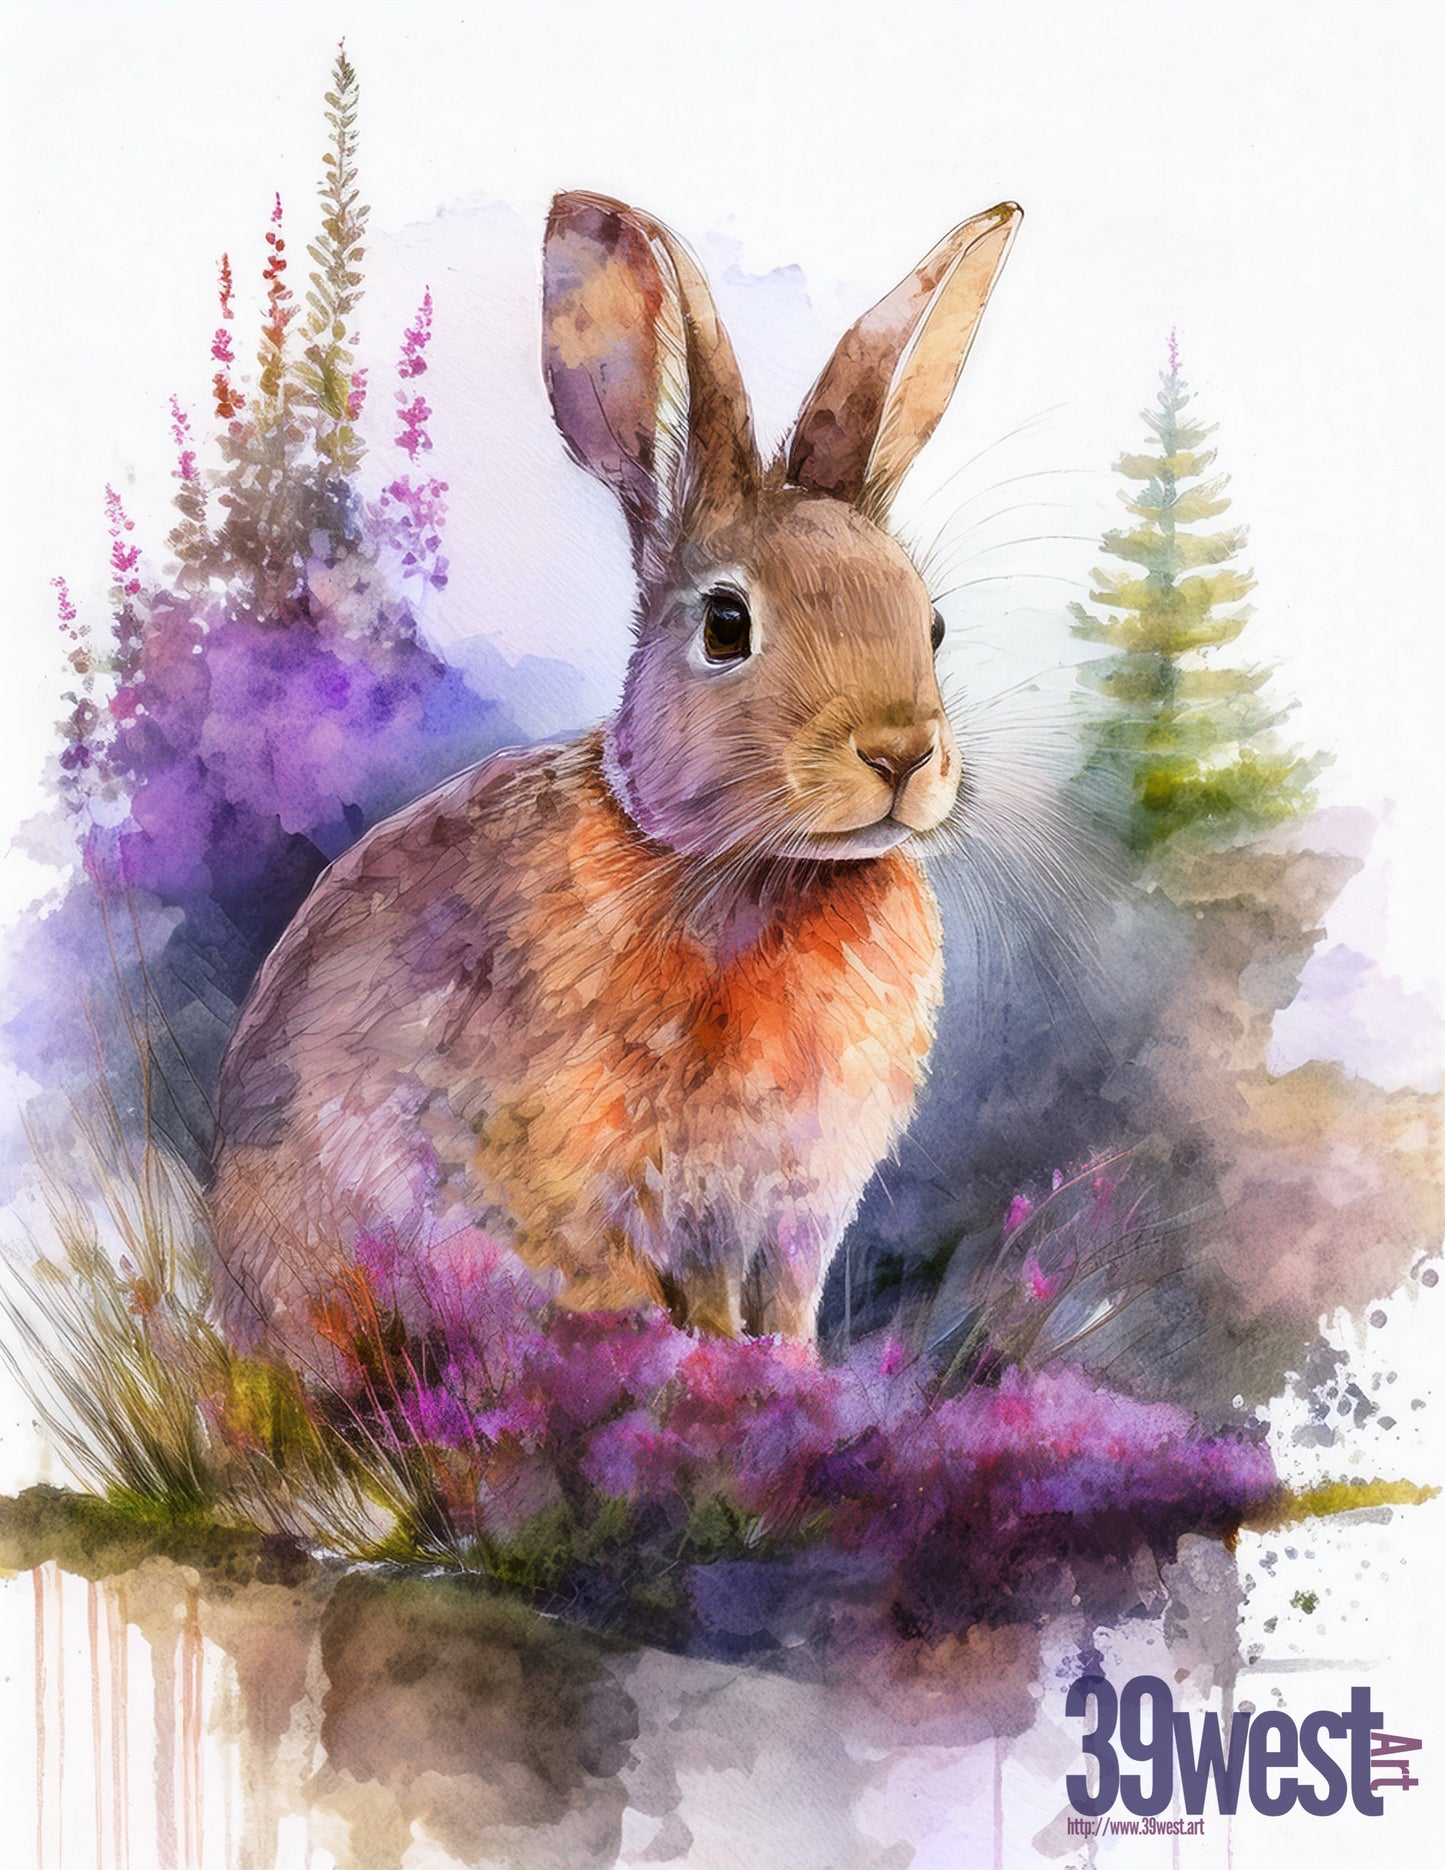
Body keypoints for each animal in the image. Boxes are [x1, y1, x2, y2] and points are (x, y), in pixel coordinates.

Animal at [210, 189, 1022, 1367]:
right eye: (726, 625)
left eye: (933, 625)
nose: (899, 753)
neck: (744, 868)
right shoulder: (657, 1190)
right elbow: (693, 1297)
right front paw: (725, 1376)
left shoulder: (790, 1210)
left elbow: (782, 1307)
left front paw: (794, 1376)